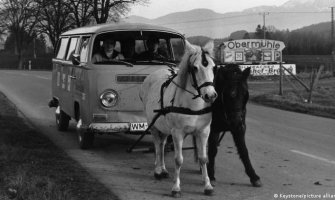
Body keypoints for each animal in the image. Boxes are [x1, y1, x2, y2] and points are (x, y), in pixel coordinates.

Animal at [139, 40, 218, 197]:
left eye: (213, 66)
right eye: (195, 68)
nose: (210, 95)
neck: (193, 106)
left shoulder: (204, 131)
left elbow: (203, 158)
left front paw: (207, 185)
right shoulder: (177, 133)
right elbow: (178, 160)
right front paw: (176, 187)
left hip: (164, 127)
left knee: (162, 145)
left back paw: (163, 169)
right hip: (154, 125)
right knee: (157, 146)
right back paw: (158, 170)